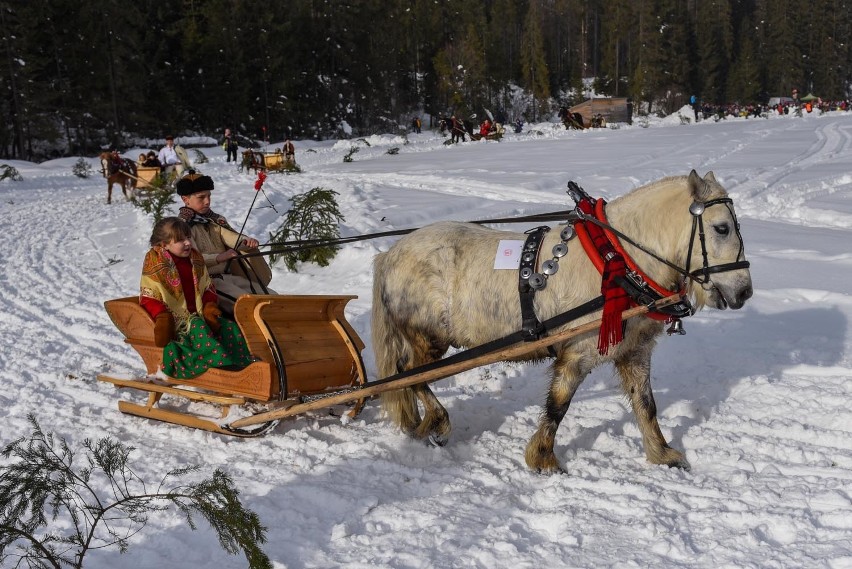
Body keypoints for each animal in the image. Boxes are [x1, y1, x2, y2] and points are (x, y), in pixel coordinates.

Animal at [372, 171, 752, 472]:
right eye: (721, 228)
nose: (744, 291)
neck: (618, 259)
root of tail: (389, 255)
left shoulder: (635, 351)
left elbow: (646, 405)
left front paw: (662, 454)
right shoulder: (578, 351)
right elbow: (559, 405)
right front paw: (542, 458)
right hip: (427, 337)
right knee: (411, 375)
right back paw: (437, 422)